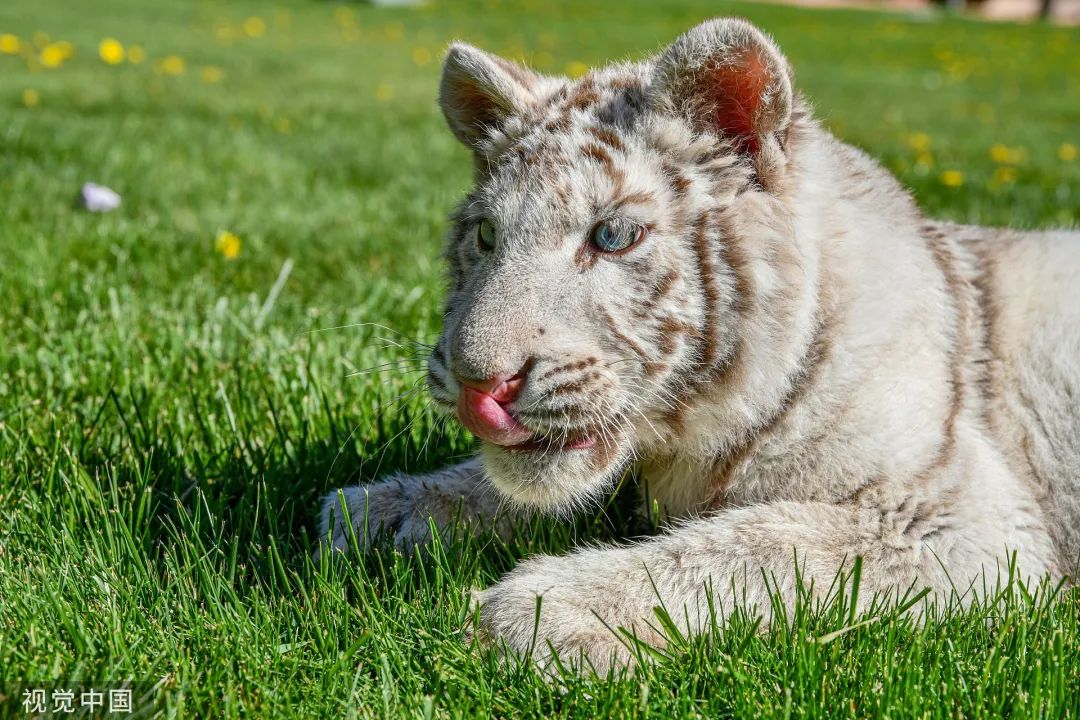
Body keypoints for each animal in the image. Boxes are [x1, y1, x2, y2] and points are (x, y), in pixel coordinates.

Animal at [319, 18, 1080, 673]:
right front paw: (378, 511)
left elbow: (761, 543)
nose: (480, 385)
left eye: (613, 236)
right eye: (485, 235)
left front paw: (532, 614)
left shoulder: (963, 524)